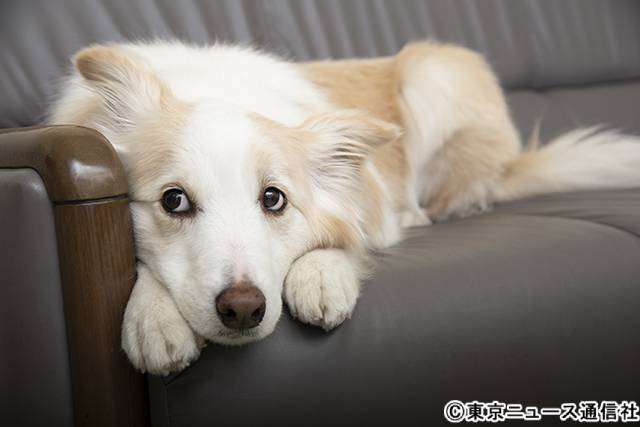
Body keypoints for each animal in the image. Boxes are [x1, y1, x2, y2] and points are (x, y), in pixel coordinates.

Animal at [48, 40, 640, 374]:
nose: (243, 309)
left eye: (274, 199)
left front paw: (321, 276)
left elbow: (346, 238)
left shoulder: (368, 203)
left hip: (435, 71)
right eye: (174, 200)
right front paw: (152, 316)